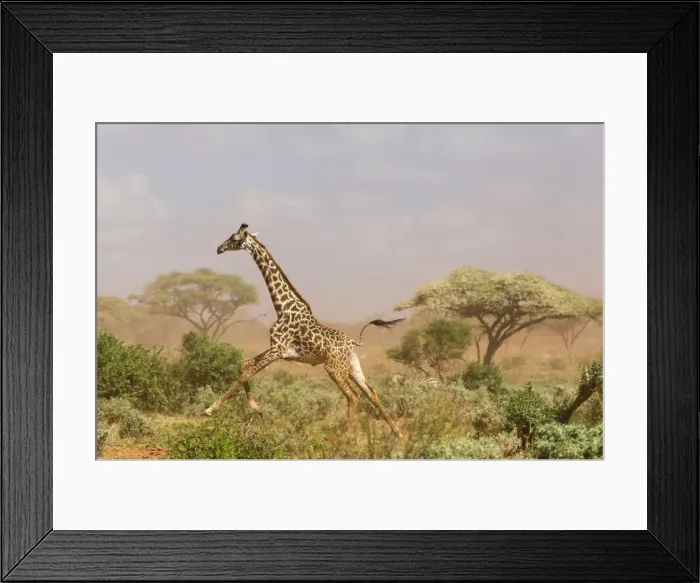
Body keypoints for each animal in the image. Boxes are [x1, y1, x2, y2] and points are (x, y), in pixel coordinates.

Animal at [204, 223, 406, 439]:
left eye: (234, 238)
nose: (219, 248)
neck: (283, 307)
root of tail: (353, 342)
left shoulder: (278, 350)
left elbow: (245, 374)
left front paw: (210, 409)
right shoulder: (278, 349)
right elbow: (243, 366)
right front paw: (259, 410)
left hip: (333, 367)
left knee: (353, 396)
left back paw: (348, 437)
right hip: (351, 366)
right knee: (371, 393)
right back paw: (398, 434)